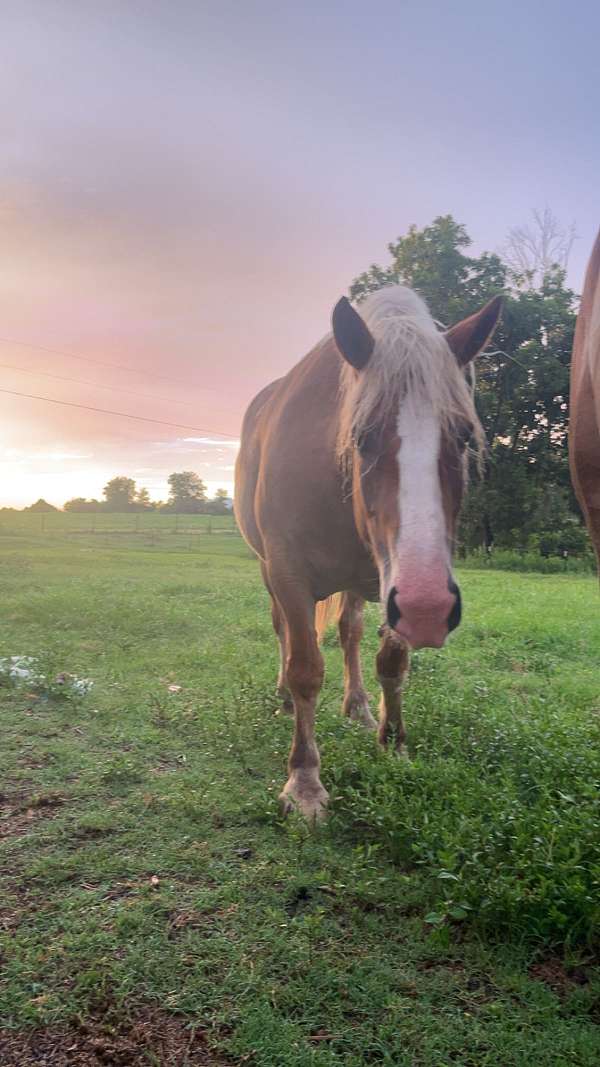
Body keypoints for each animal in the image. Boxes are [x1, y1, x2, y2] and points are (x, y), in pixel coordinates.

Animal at [235, 284, 502, 819]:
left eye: (464, 436)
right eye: (361, 436)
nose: (429, 610)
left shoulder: (395, 582)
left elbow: (391, 664)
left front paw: (393, 743)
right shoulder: (289, 574)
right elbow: (305, 668)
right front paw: (304, 782)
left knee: (350, 632)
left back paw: (357, 705)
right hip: (269, 571)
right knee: (284, 633)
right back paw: (283, 697)